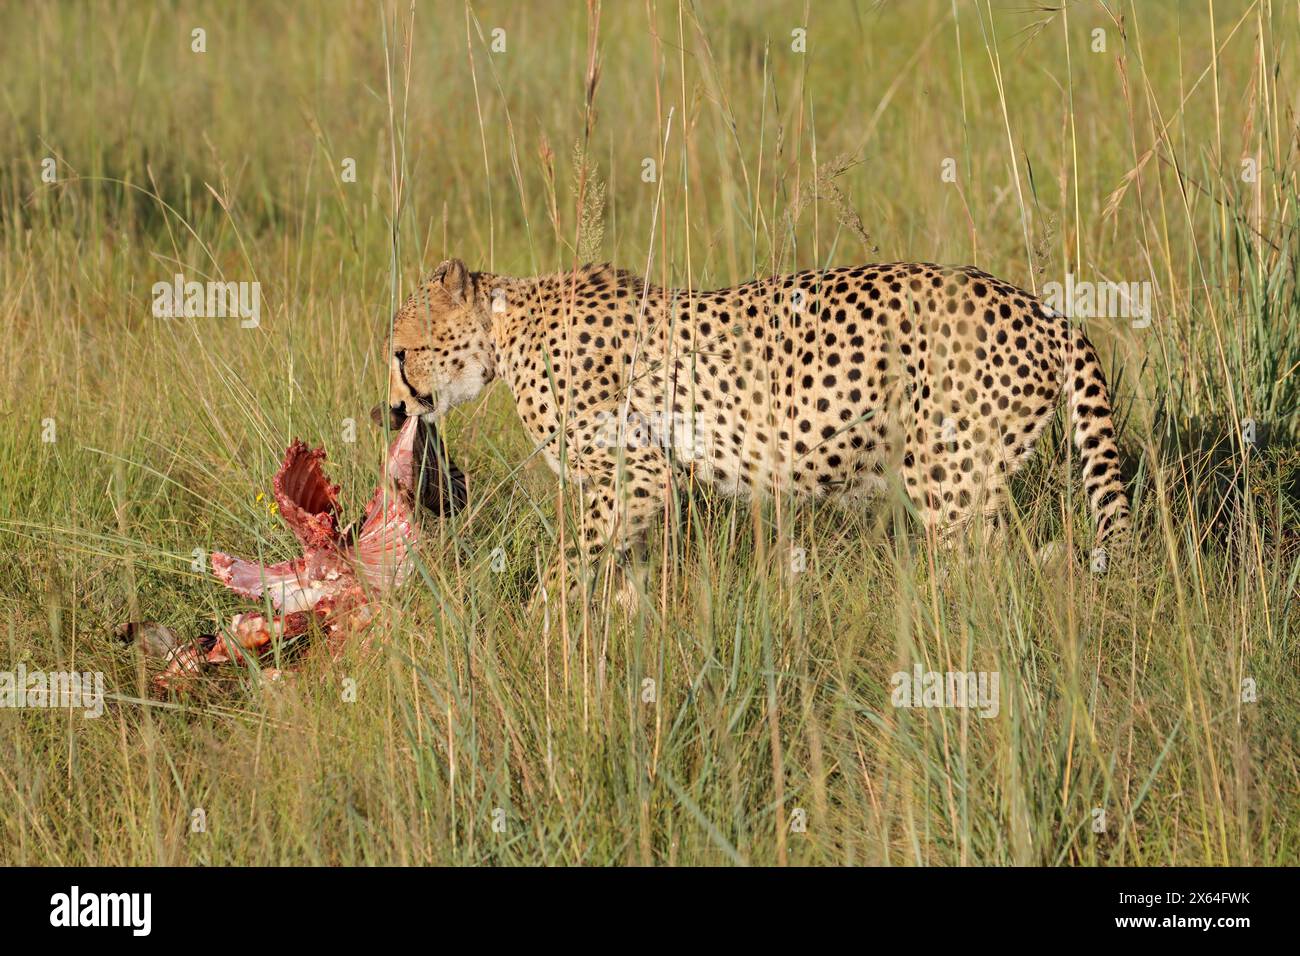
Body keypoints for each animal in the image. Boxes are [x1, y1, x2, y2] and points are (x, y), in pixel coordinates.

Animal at [378, 257, 1130, 605]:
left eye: (401, 352)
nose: (391, 409)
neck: (505, 329)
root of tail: (1045, 310)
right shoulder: (641, 485)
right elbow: (617, 561)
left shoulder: (634, 470)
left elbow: (569, 562)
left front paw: (544, 624)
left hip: (945, 470)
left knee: (985, 566)